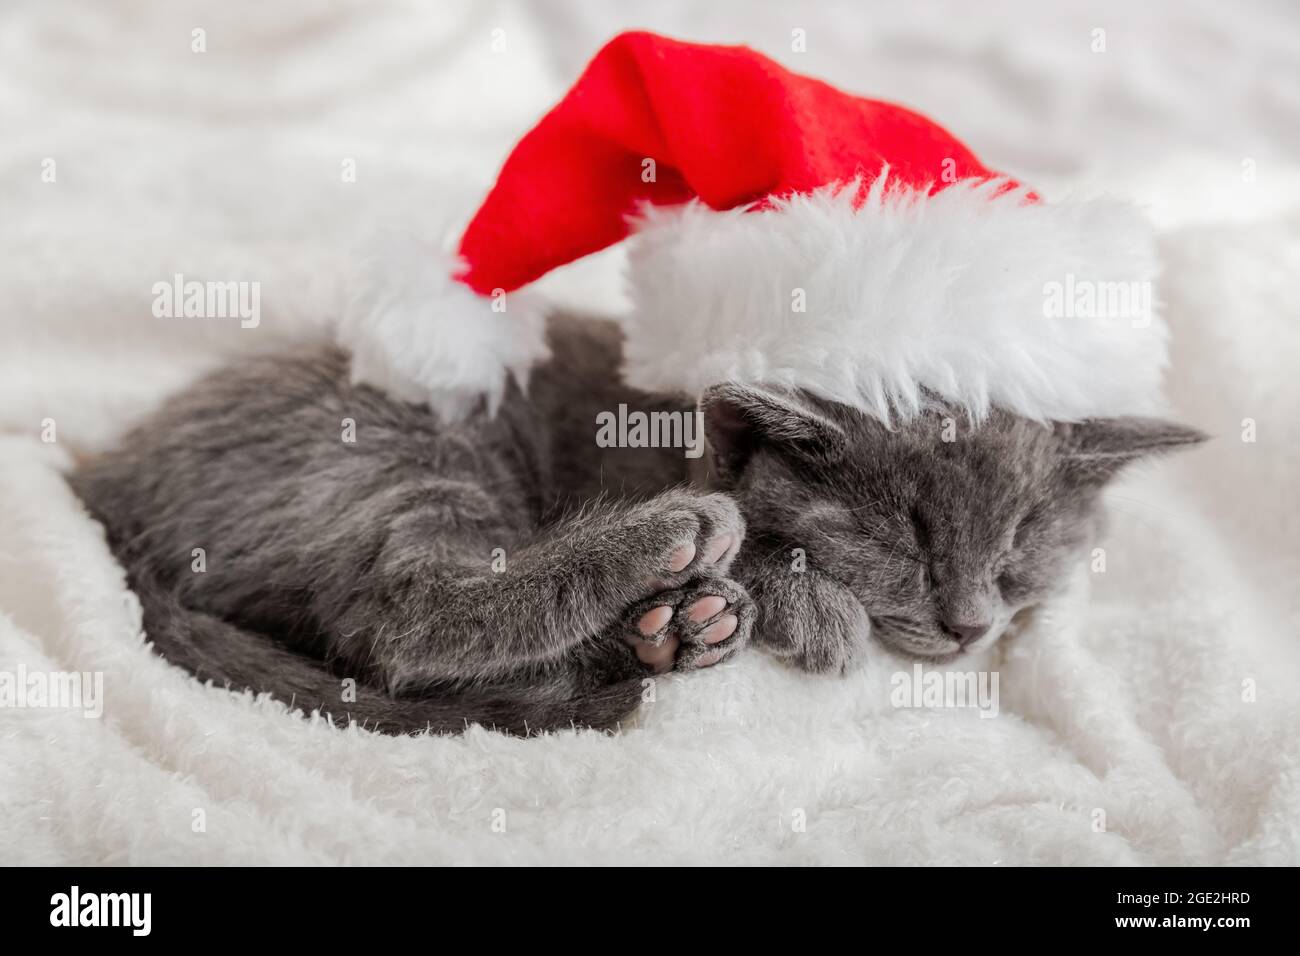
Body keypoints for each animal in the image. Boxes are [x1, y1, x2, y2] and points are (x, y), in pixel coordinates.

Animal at [76, 314, 1201, 733]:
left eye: (1020, 549)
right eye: (904, 541)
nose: (971, 626)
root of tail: (105, 482)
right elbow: (763, 528)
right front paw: (809, 603)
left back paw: (671, 631)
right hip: (403, 455)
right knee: (395, 619)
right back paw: (662, 551)